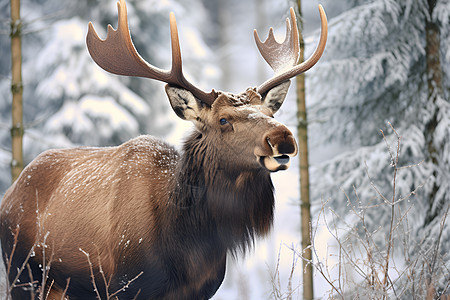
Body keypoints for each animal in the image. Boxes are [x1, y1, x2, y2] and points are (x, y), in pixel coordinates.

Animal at [0, 1, 326, 298]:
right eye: (223, 120)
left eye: (269, 113)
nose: (282, 137)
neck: (190, 242)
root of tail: (10, 193)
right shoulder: (125, 287)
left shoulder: (202, 291)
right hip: (24, 275)